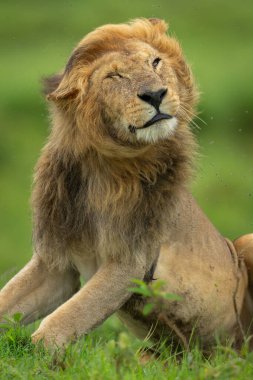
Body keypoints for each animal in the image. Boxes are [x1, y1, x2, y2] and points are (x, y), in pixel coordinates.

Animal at [0, 17, 253, 350]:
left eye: (155, 62)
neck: (99, 171)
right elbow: (10, 301)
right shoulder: (56, 264)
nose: (156, 94)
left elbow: (61, 323)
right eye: (114, 75)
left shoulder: (132, 262)